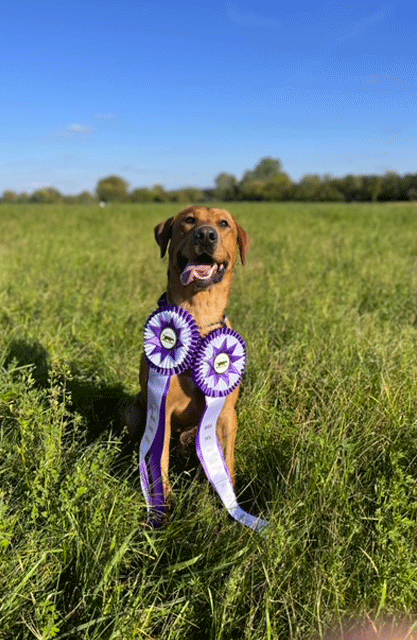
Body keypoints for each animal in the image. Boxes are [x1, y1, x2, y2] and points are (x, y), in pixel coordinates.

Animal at [122, 205, 249, 504]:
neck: (199, 315)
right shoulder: (162, 409)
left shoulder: (226, 414)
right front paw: (163, 501)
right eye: (189, 220)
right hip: (134, 413)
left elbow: (226, 461)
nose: (206, 234)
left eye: (224, 224)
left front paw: (228, 501)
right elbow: (160, 460)